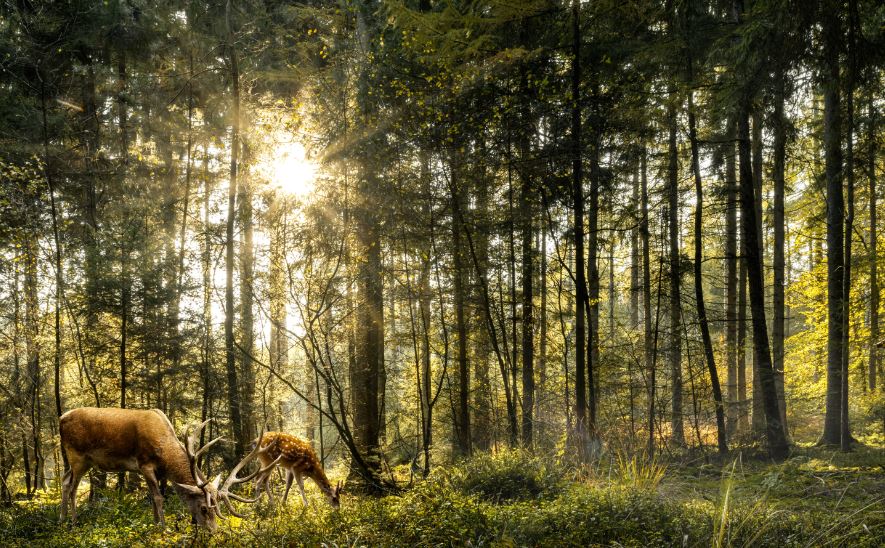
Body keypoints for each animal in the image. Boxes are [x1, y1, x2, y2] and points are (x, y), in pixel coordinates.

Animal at [58, 408, 278, 528]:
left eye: (217, 509)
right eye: (204, 508)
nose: (213, 532)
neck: (165, 452)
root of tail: (61, 419)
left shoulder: (156, 472)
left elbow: (152, 497)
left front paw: (155, 524)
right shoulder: (144, 464)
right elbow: (158, 498)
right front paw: (163, 528)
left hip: (82, 462)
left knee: (65, 480)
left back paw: (62, 519)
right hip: (77, 455)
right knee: (73, 487)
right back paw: (74, 523)